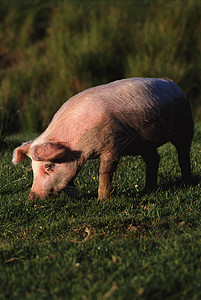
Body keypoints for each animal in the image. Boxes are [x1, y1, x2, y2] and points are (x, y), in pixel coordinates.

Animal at [12, 78, 193, 203]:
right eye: (33, 169)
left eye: (49, 166)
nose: (31, 198)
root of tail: (174, 85)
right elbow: (70, 178)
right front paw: (75, 199)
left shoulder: (111, 145)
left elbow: (104, 171)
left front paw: (102, 200)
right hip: (144, 143)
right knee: (154, 159)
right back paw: (148, 190)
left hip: (185, 125)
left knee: (183, 155)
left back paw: (188, 183)